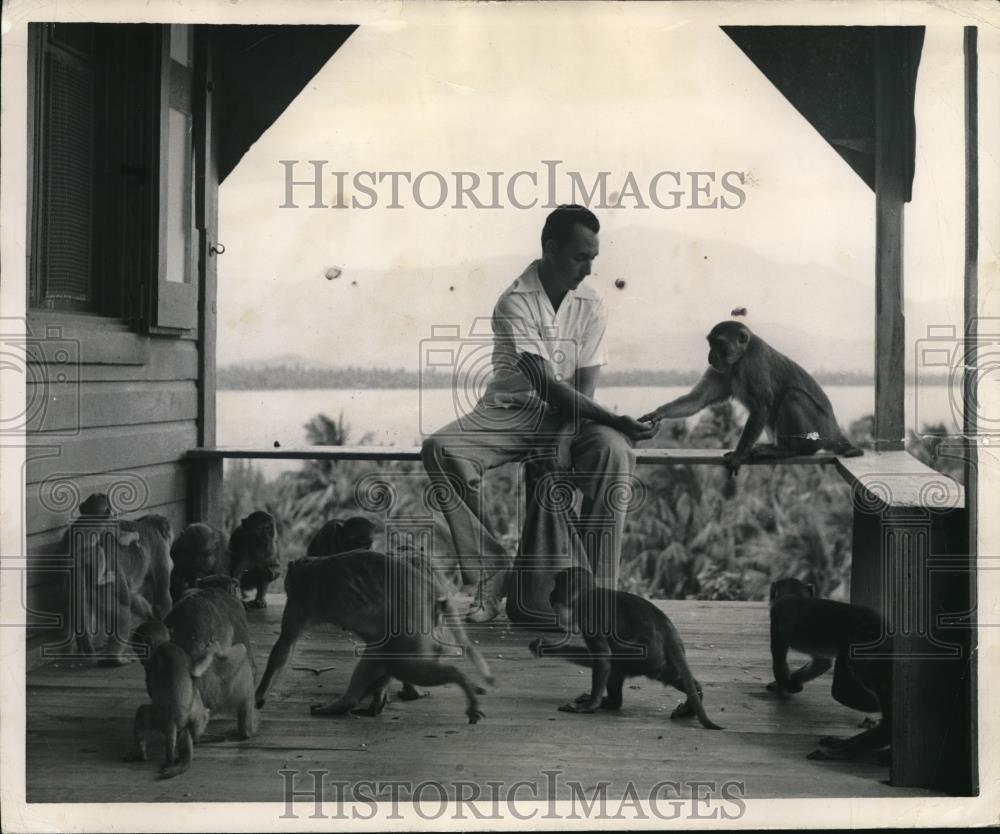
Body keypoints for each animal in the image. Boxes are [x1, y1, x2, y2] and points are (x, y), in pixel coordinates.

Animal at [256, 548, 494, 720]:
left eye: (288, 581)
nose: (284, 582)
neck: (309, 567)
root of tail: (431, 587)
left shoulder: (299, 599)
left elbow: (285, 644)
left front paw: (258, 695)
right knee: (384, 653)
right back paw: (349, 702)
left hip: (411, 616)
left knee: (400, 662)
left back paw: (457, 677)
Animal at [528, 564, 724, 728]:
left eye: (557, 586)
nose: (551, 594)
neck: (588, 594)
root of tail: (666, 627)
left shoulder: (586, 614)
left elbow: (603, 655)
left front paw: (590, 706)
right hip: (657, 660)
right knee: (671, 674)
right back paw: (694, 696)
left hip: (647, 656)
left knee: (617, 661)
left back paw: (609, 702)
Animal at [644, 320, 864, 474]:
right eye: (710, 344)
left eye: (719, 344)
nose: (710, 357)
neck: (740, 358)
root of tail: (835, 430)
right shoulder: (724, 370)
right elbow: (697, 400)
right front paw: (657, 414)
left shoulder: (753, 362)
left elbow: (762, 406)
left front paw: (738, 455)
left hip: (818, 430)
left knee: (793, 396)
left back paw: (787, 450)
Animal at [764, 580, 892, 760]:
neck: (794, 595)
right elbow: (822, 663)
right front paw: (792, 683)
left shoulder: (777, 615)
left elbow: (779, 659)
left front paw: (785, 685)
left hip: (854, 644)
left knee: (841, 690)